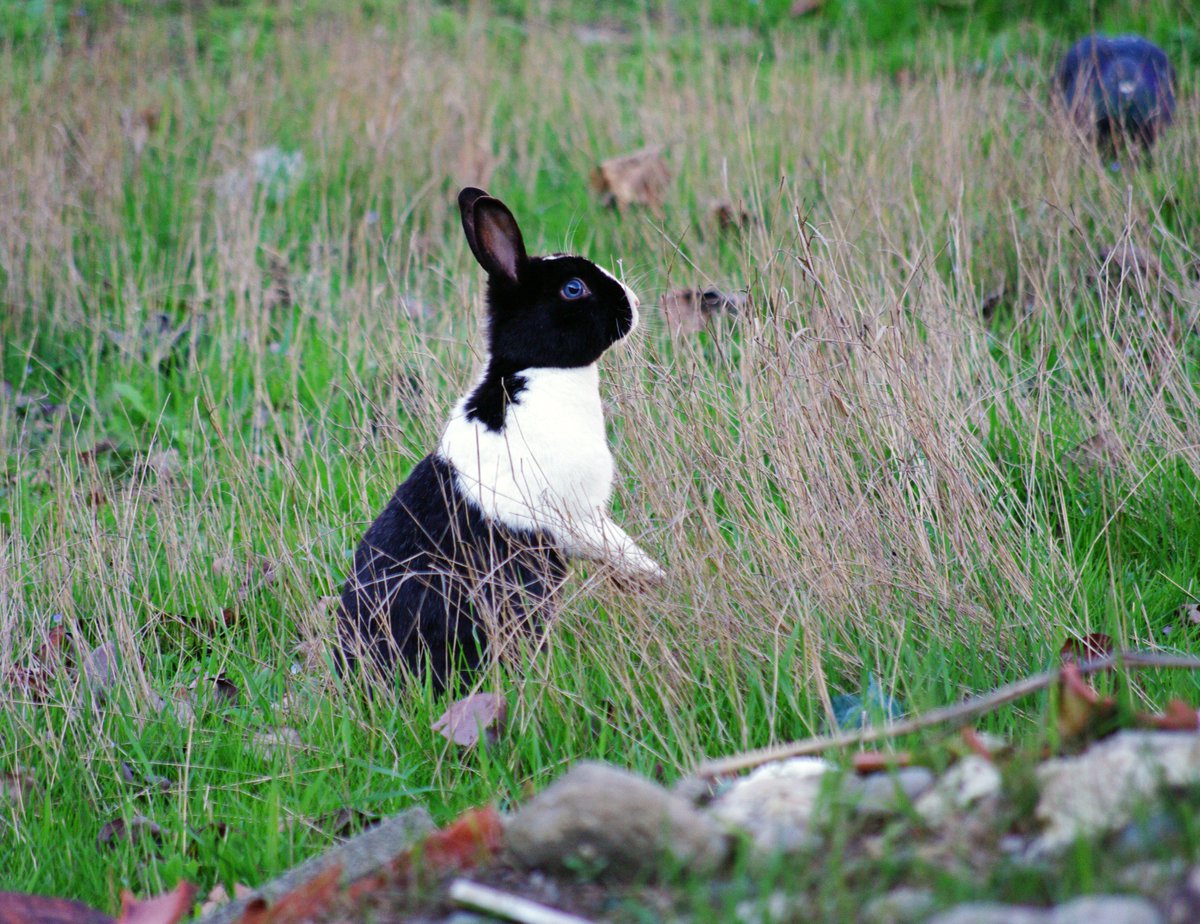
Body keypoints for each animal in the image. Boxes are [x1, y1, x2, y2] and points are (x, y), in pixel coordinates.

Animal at [338, 187, 665, 692]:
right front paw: (657, 577)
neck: (533, 371)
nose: (631, 301)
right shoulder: (579, 515)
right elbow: (614, 544)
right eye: (574, 288)